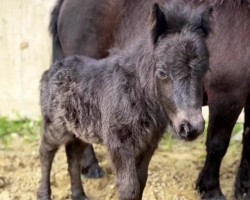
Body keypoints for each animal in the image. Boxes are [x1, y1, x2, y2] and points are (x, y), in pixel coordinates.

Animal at [48, 0, 250, 198]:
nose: (190, 128)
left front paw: (243, 189)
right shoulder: (227, 96)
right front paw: (211, 190)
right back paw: (92, 168)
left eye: (205, 70)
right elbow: (218, 145)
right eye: (162, 72)